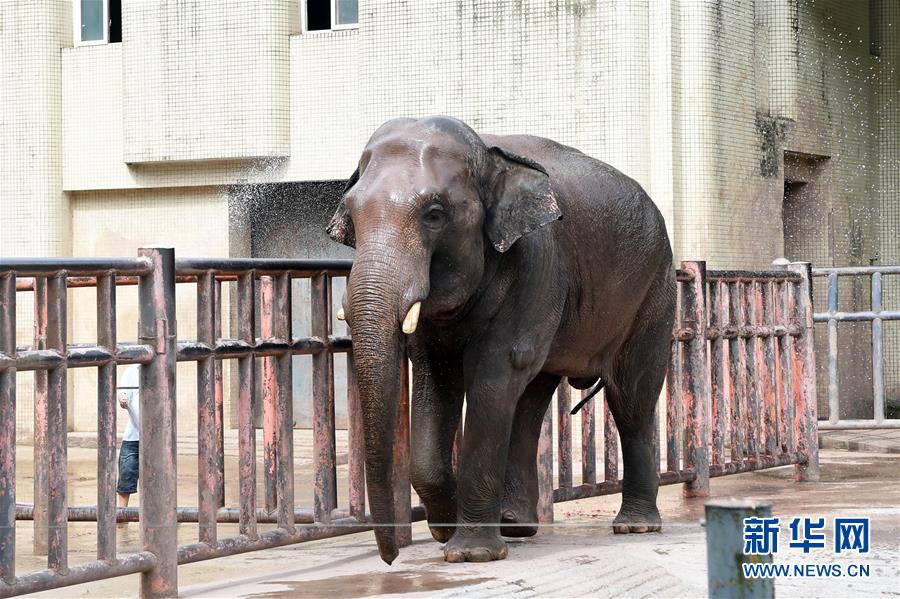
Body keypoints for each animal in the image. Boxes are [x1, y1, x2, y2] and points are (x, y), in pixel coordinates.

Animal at [326, 117, 672, 568]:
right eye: (351, 213)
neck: (489, 157)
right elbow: (436, 377)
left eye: (434, 214)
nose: (389, 560)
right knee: (531, 398)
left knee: (630, 399)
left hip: (653, 293)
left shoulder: (536, 261)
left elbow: (494, 375)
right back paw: (515, 524)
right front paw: (444, 530)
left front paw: (470, 553)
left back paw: (635, 526)